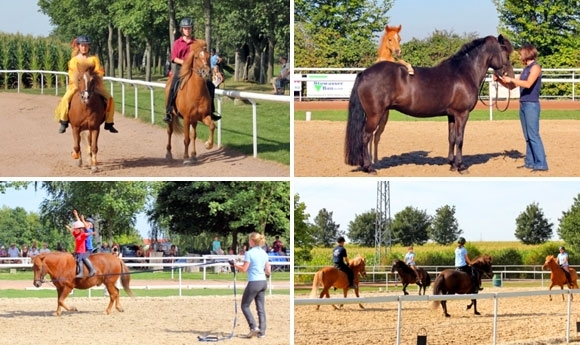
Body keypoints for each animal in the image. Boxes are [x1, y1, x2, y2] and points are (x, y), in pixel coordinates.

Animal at [342, 35, 516, 172]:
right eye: (505, 53)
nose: (511, 78)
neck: (464, 72)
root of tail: (364, 73)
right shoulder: (462, 114)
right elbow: (460, 139)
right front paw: (461, 166)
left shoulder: (451, 116)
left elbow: (452, 138)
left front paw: (452, 164)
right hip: (375, 115)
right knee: (365, 136)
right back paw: (369, 168)